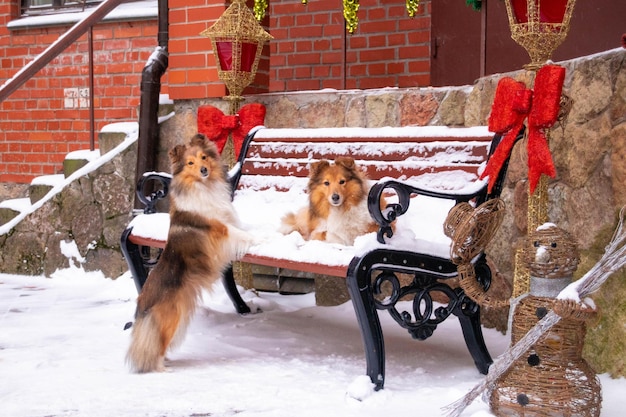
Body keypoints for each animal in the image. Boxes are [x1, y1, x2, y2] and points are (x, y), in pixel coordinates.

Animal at [125, 132, 255, 370]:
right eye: (190, 163)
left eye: (204, 157)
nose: (203, 170)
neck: (203, 187)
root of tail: (141, 306)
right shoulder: (221, 228)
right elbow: (242, 235)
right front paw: (265, 238)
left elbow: (244, 228)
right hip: (171, 319)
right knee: (154, 350)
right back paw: (162, 369)